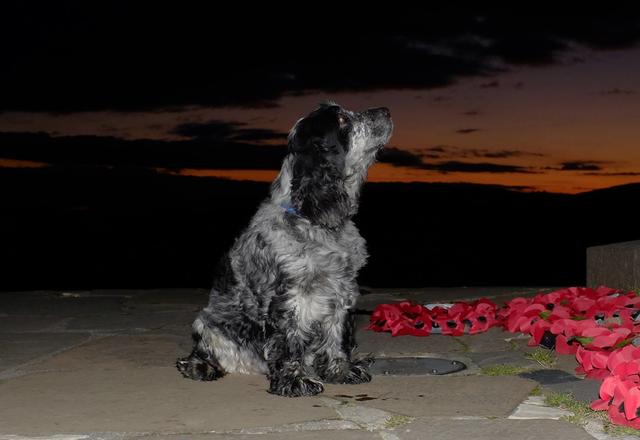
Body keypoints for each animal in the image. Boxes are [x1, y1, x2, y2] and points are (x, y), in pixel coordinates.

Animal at [178, 101, 392, 398]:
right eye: (341, 120)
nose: (385, 110)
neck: (316, 223)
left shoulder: (341, 290)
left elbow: (335, 337)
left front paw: (341, 371)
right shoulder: (289, 296)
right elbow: (290, 341)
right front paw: (295, 380)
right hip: (207, 323)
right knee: (203, 352)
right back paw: (201, 367)